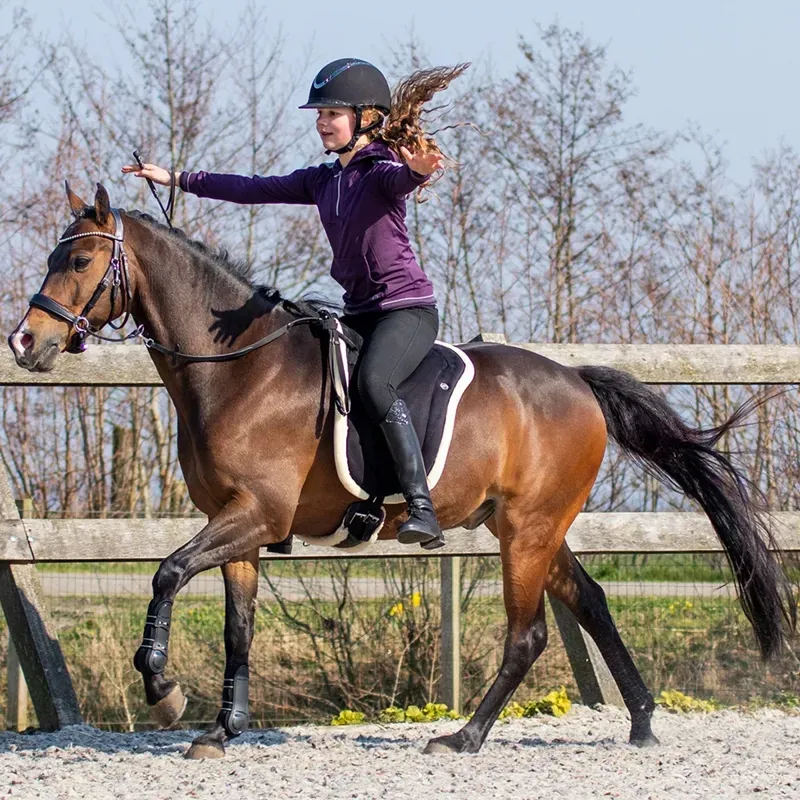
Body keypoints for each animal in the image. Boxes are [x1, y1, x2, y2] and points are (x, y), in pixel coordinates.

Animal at [9, 183, 795, 759]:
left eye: (78, 263)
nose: (24, 341)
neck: (239, 370)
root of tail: (575, 380)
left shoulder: (254, 515)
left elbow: (167, 573)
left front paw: (163, 688)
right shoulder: (238, 526)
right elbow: (237, 629)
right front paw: (221, 730)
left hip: (527, 530)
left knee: (529, 633)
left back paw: (465, 737)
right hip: (531, 526)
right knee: (593, 601)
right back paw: (640, 721)